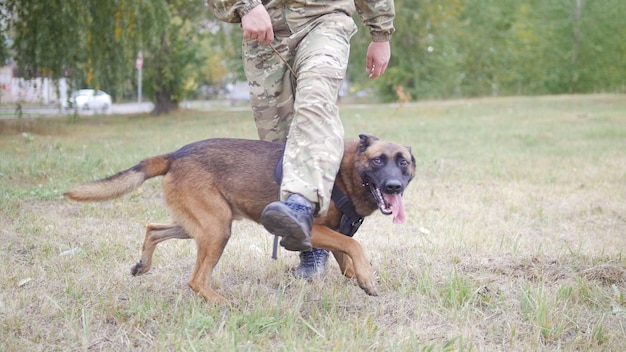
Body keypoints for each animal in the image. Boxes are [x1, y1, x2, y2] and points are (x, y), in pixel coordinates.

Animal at [64, 135, 414, 302]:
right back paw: (221, 303)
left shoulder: (334, 230)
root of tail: (175, 155)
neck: (347, 170)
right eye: (378, 161)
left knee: (153, 229)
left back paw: (142, 266)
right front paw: (366, 278)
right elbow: (354, 247)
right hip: (217, 230)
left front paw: (360, 277)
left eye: (404, 163)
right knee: (196, 280)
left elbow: (346, 256)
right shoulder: (313, 229)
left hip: (202, 226)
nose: (394, 187)